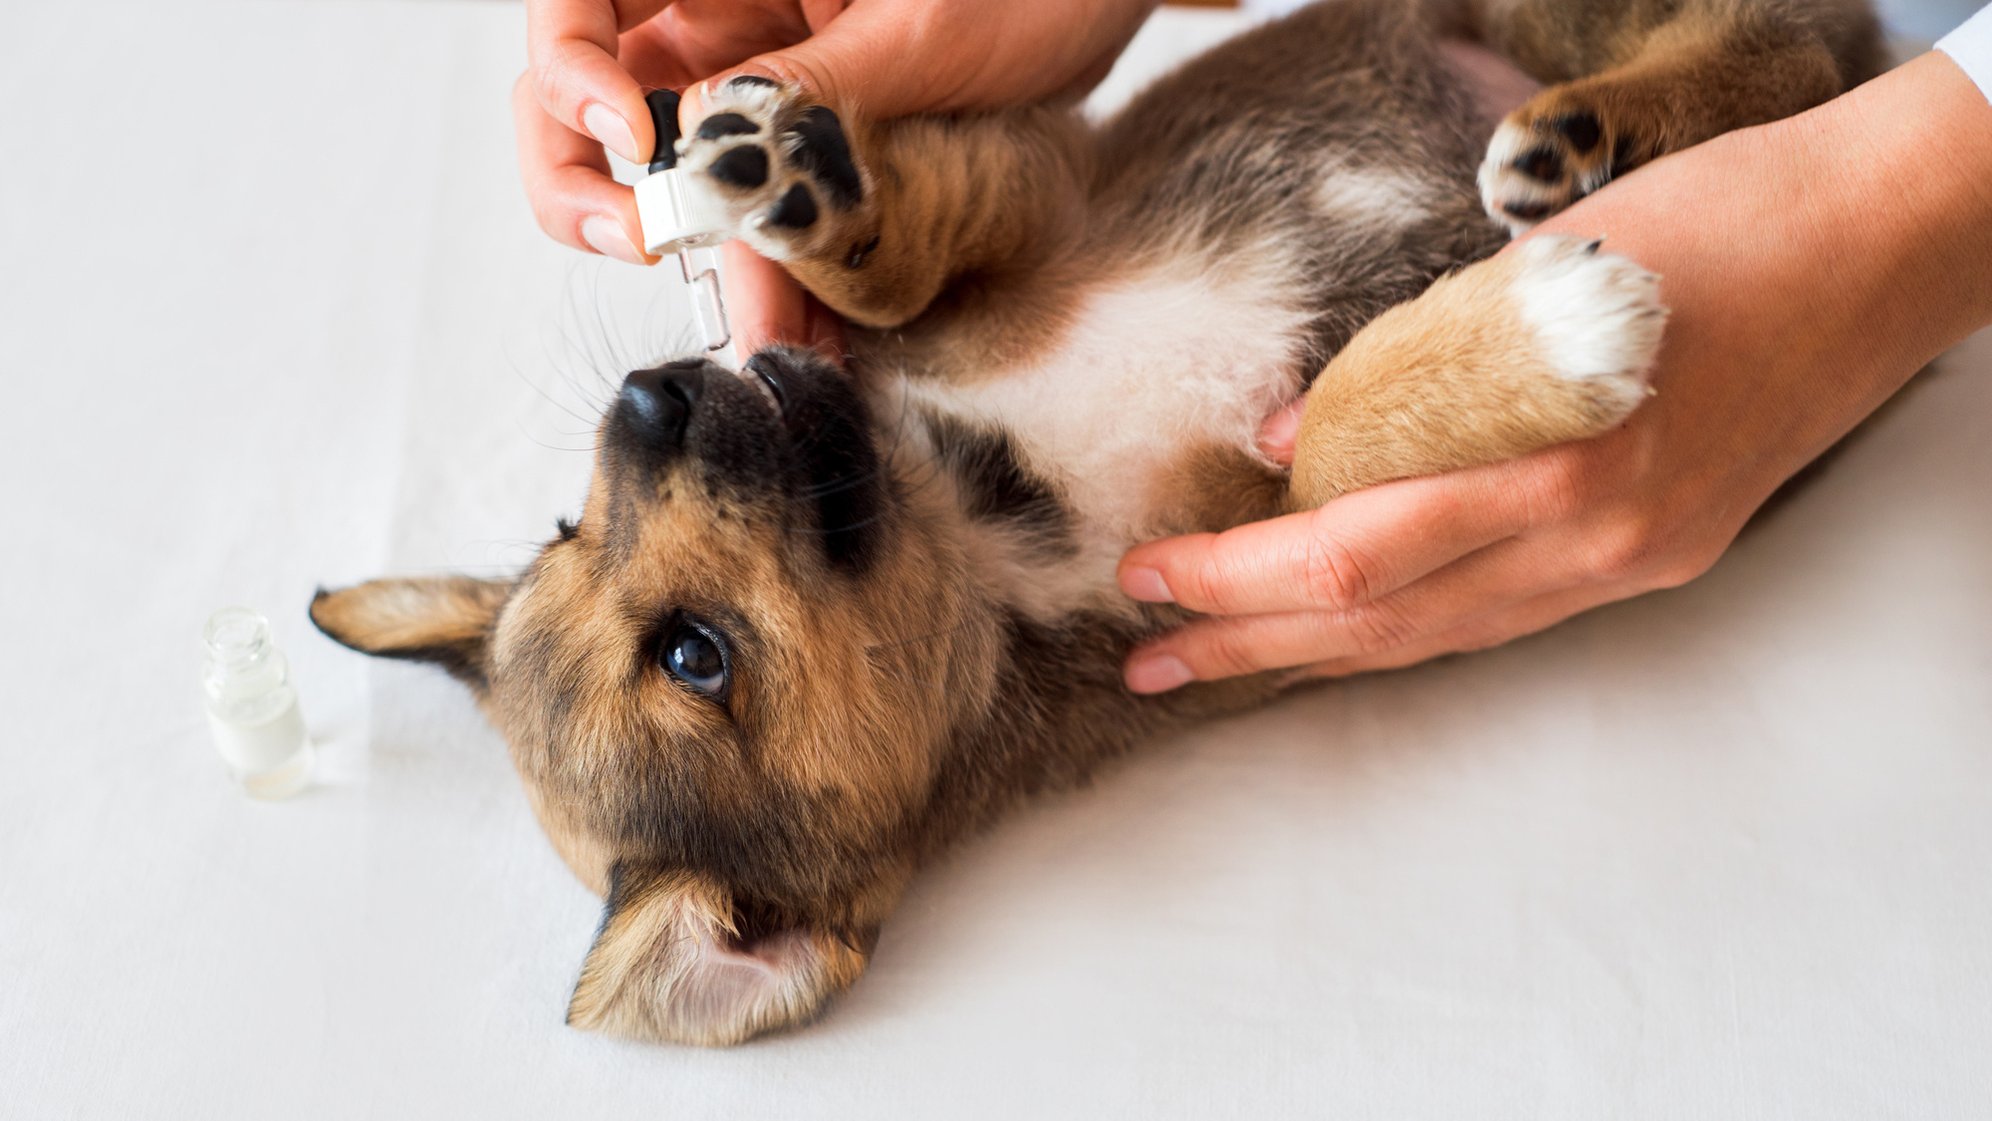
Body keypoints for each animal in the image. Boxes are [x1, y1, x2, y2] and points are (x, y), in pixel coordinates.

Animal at [1115, 54, 1992, 700]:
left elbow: (1326, 429)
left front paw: (1553, 326)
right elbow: (1325, 450)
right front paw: (1560, 329)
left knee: (1791, 45)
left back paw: (1586, 133)